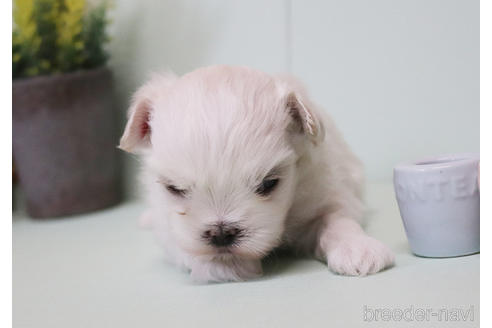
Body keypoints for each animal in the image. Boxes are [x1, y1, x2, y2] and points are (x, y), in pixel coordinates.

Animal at [120, 66, 396, 282]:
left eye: (268, 184)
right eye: (175, 189)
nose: (221, 234)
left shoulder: (327, 190)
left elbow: (337, 221)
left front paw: (357, 249)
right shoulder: (168, 225)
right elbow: (179, 241)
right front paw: (223, 265)